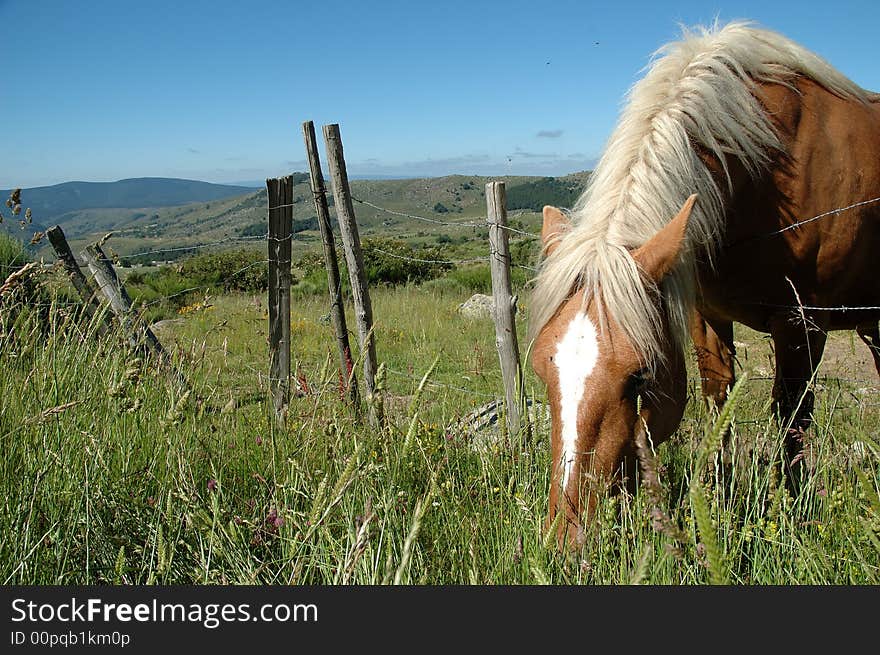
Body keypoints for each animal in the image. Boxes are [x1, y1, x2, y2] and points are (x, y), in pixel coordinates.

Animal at [528, 21, 880, 548]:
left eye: (640, 377)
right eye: (540, 371)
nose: (565, 538)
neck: (765, 170)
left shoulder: (801, 325)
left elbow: (793, 420)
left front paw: (795, 516)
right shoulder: (706, 317)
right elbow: (721, 401)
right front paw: (720, 493)